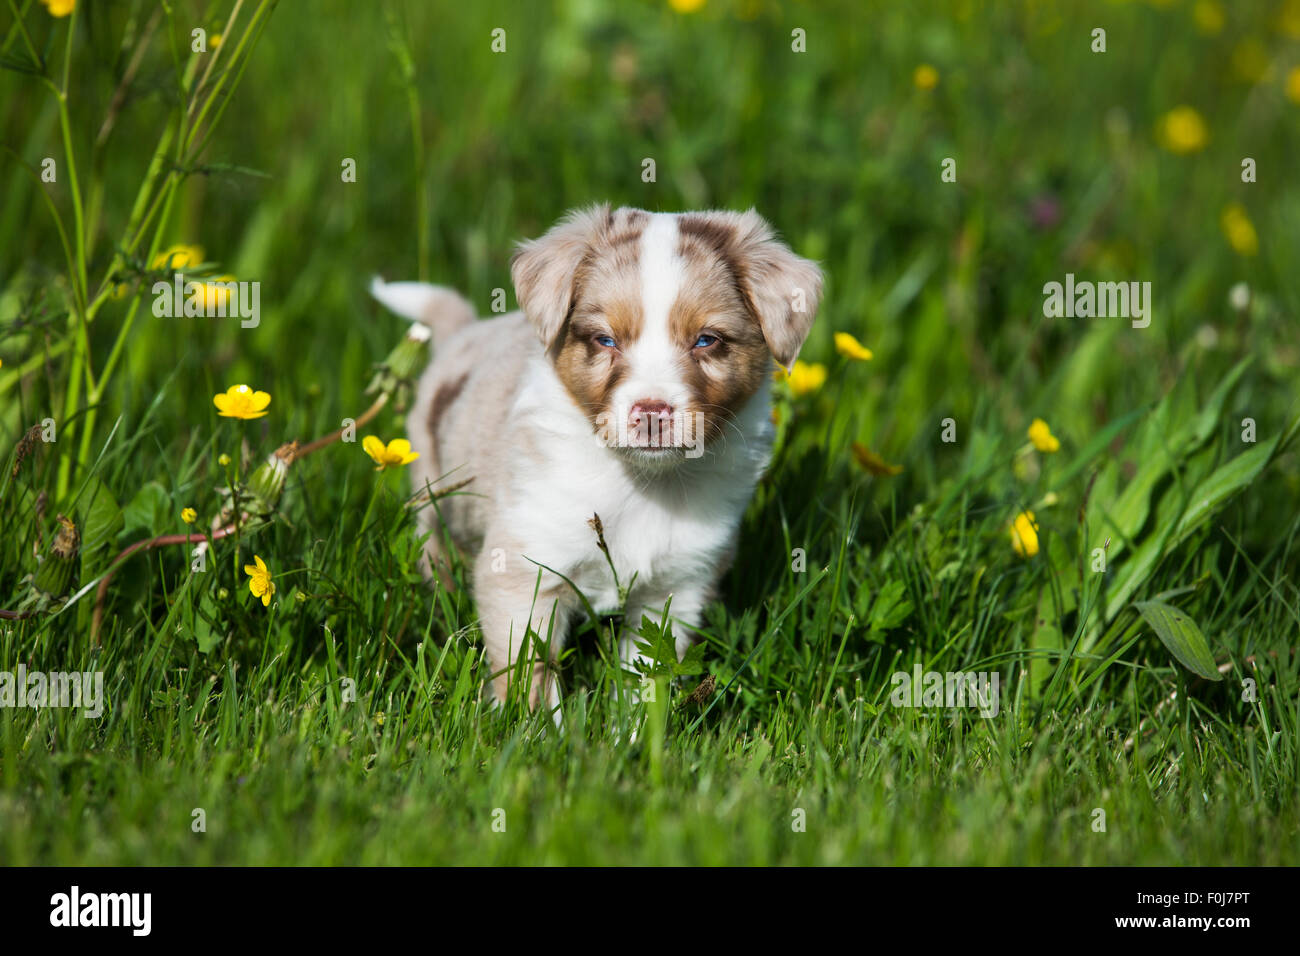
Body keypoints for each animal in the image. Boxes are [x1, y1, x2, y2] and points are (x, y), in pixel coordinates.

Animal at [374, 208, 821, 712]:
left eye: (706, 340)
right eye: (606, 339)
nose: (652, 412)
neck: (643, 483)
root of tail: (466, 333)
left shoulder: (679, 587)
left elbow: (649, 677)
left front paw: (636, 729)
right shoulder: (525, 566)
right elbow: (528, 673)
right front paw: (535, 728)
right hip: (434, 498)